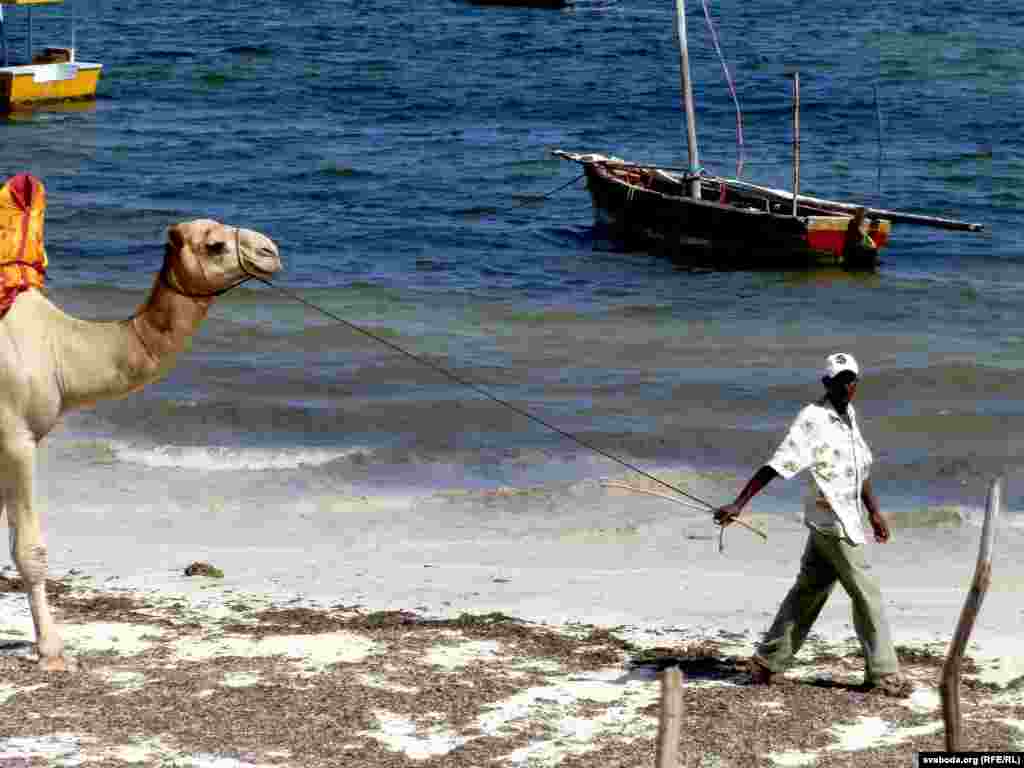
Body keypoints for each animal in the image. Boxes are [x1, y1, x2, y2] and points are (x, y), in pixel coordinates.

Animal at [1, 218, 280, 671]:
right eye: (215, 244)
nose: (270, 251)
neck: (60, 349)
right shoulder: (16, 436)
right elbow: (30, 550)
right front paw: (53, 653)